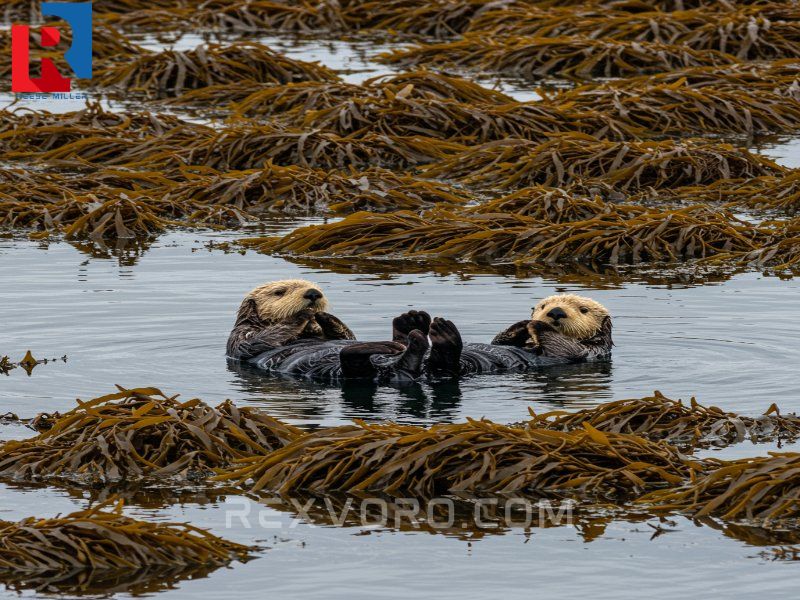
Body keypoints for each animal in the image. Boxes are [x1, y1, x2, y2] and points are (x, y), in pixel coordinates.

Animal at [227, 282, 612, 382]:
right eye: (280, 292)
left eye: (583, 309)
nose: (313, 294)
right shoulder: (241, 340)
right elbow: (258, 339)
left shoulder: (590, 352)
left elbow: (563, 350)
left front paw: (533, 326)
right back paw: (411, 329)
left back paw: (421, 333)